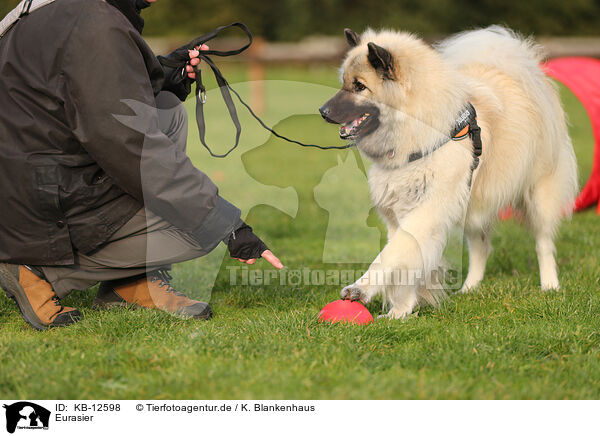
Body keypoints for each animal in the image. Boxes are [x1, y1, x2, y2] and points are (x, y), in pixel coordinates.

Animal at [318, 25, 576, 318]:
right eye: (343, 82)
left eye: (359, 86)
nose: (322, 111)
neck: (419, 135)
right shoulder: (400, 216)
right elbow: (405, 266)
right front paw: (399, 312)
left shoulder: (425, 213)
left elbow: (390, 256)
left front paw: (362, 290)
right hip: (474, 206)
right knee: (481, 247)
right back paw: (469, 289)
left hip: (538, 197)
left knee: (544, 243)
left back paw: (550, 286)